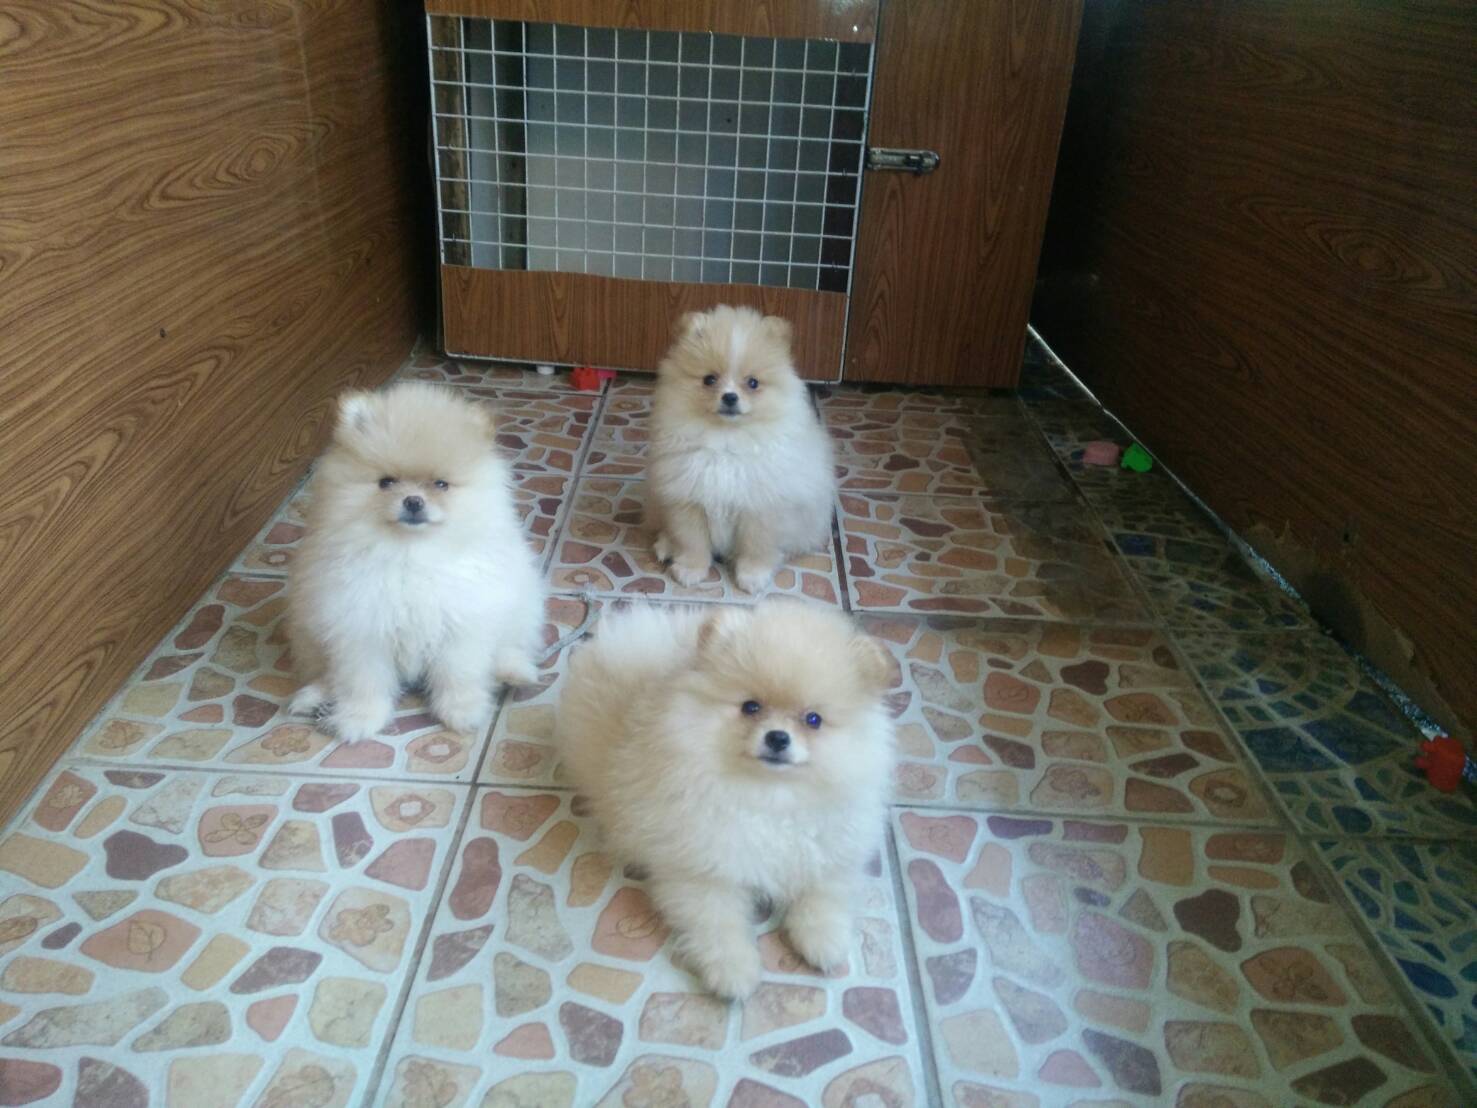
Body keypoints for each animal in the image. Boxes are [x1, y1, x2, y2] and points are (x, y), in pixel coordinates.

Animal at [287, 382, 545, 741]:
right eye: (386, 482)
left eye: (441, 484)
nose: (413, 501)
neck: (409, 554)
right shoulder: (361, 629)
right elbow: (363, 682)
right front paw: (359, 719)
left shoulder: (460, 624)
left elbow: (458, 675)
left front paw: (462, 712)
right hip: (307, 625)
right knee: (326, 672)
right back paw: (314, 696)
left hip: (522, 602)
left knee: (510, 645)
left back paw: (514, 671)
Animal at [556, 599, 896, 998]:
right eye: (751, 707)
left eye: (813, 719)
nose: (778, 737)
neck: (770, 796)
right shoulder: (699, 868)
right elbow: (717, 924)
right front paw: (735, 973)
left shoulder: (832, 848)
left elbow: (824, 894)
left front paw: (824, 942)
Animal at [646, 306, 836, 593]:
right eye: (709, 379)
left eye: (753, 383)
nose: (730, 397)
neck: (726, 443)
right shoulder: (688, 499)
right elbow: (692, 541)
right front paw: (691, 570)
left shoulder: (761, 507)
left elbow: (756, 547)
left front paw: (752, 577)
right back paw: (666, 545)